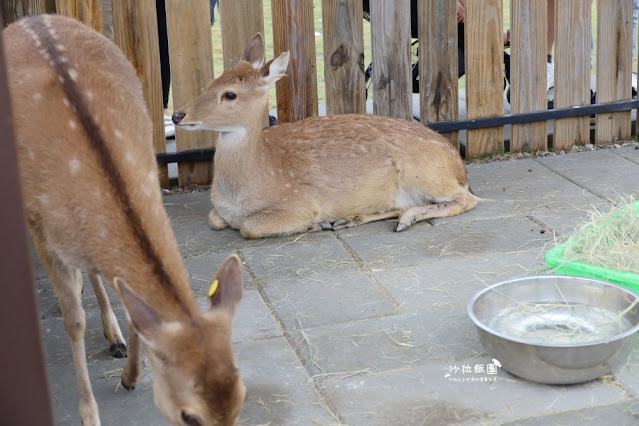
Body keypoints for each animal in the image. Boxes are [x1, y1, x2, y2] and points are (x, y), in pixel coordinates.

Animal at [5, 15, 245, 424]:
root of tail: (30, 17)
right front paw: (89, 415)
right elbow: (74, 321)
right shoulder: (44, 234)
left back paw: (113, 337)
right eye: (189, 414)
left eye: (241, 394)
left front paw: (130, 374)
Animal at [172, 33, 478, 240]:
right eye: (210, 83)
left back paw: (404, 220)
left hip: (426, 174)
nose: (177, 115)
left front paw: (313, 223)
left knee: (467, 200)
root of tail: (459, 168)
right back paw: (351, 219)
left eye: (230, 94)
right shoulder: (220, 212)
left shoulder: (299, 204)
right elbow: (214, 219)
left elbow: (248, 227)